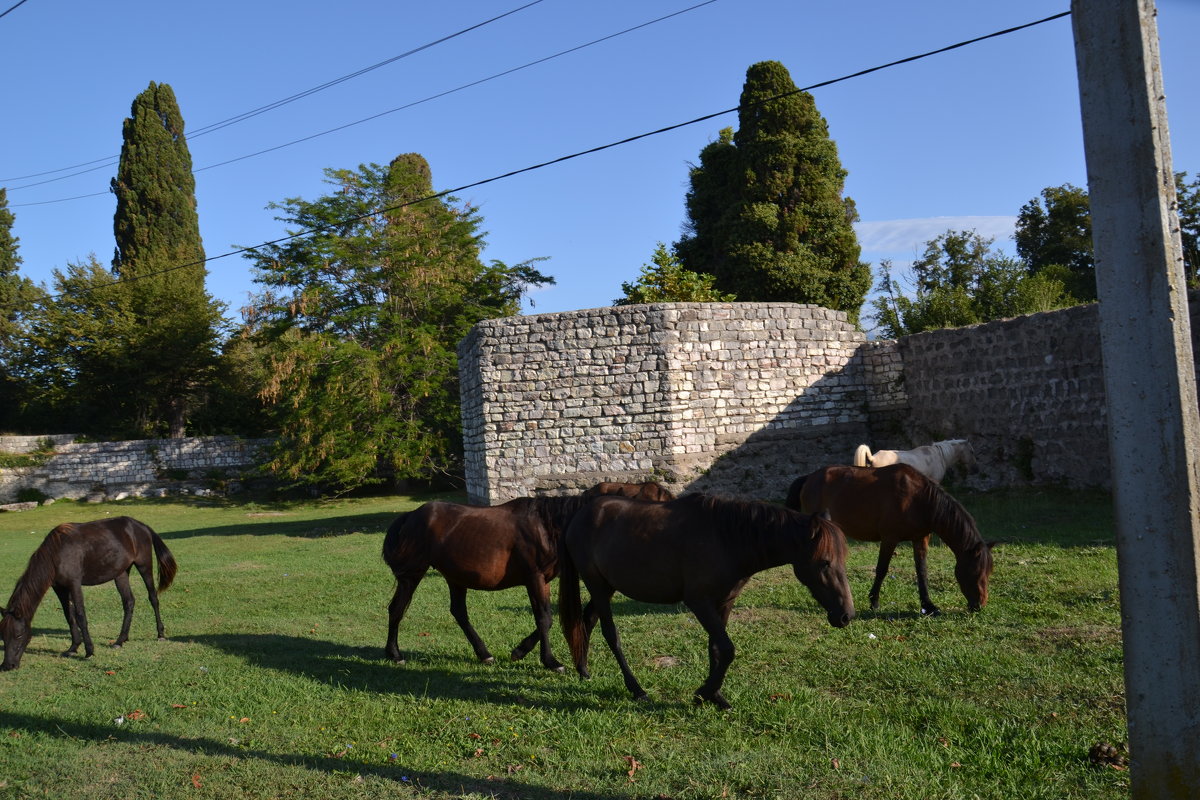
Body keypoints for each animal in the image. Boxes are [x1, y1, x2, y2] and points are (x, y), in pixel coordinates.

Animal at [1, 515, 177, 671]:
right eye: (3, 636)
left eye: (18, 635)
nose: (8, 666)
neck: (57, 553)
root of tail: (141, 526)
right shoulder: (60, 588)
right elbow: (69, 616)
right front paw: (73, 647)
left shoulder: (74, 584)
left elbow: (80, 615)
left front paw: (89, 650)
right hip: (120, 573)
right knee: (129, 602)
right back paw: (120, 640)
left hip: (144, 565)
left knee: (153, 597)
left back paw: (160, 634)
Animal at [381, 482, 676, 671]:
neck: (549, 525)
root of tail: (411, 515)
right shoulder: (534, 577)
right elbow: (544, 618)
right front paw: (551, 662)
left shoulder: (542, 581)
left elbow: (552, 618)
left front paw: (521, 650)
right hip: (412, 575)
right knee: (397, 608)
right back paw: (394, 654)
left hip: (456, 577)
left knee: (459, 613)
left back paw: (484, 654)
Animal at [561, 494, 854, 714]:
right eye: (824, 562)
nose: (846, 615)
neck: (726, 539)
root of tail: (581, 515)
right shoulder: (698, 601)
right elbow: (727, 649)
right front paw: (704, 693)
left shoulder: (724, 602)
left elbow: (715, 648)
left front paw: (716, 696)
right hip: (597, 585)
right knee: (611, 634)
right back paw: (636, 689)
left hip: (607, 587)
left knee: (586, 620)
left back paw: (583, 671)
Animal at [787, 460, 993, 618]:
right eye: (975, 571)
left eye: (988, 573)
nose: (979, 605)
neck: (918, 499)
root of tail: (809, 477)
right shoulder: (889, 539)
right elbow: (881, 570)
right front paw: (874, 602)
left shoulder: (920, 539)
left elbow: (922, 571)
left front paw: (928, 606)